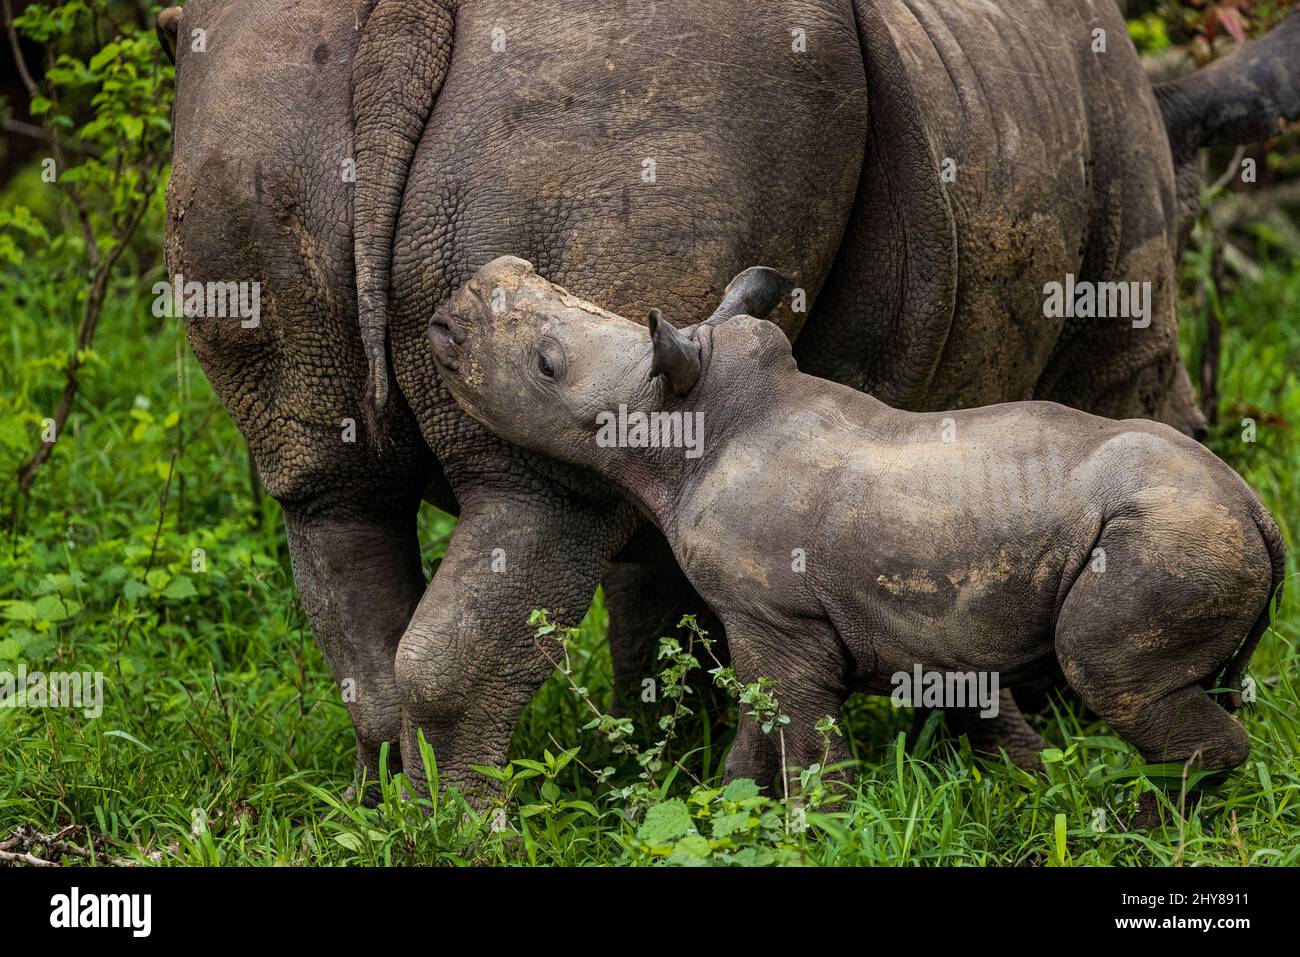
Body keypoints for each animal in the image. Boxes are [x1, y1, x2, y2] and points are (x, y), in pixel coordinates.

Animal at [431, 257, 1284, 790]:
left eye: (546, 365)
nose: (454, 311)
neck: (690, 422)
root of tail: (1260, 511)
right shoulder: (805, 620)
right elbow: (758, 737)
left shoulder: (777, 611)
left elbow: (805, 736)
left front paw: (820, 827)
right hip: (1191, 530)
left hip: (1170, 539)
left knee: (1105, 669)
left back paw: (1146, 820)